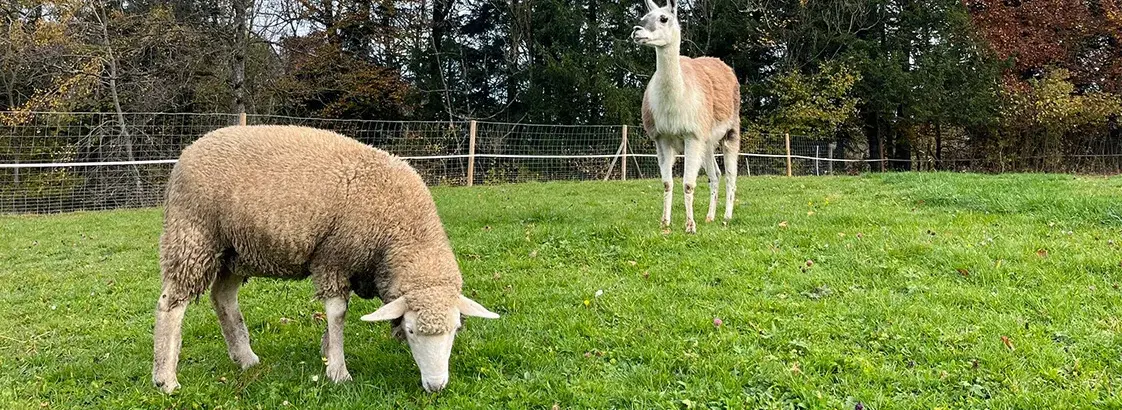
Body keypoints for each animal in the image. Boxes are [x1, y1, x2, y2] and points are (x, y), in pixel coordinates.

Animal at [151, 124, 500, 394]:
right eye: (412, 331)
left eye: (456, 330)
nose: (436, 386)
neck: (400, 231)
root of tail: (190, 149)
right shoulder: (333, 258)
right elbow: (338, 313)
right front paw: (338, 370)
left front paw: (328, 351)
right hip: (192, 236)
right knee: (171, 303)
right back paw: (166, 378)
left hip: (236, 251)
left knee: (222, 297)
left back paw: (245, 358)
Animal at [632, 0, 742, 233]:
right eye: (643, 17)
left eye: (664, 18)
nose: (637, 31)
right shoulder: (662, 138)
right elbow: (667, 183)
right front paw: (665, 223)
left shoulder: (692, 135)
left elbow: (689, 184)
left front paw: (690, 226)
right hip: (707, 142)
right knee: (715, 174)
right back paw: (710, 217)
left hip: (731, 130)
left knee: (730, 174)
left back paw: (726, 217)